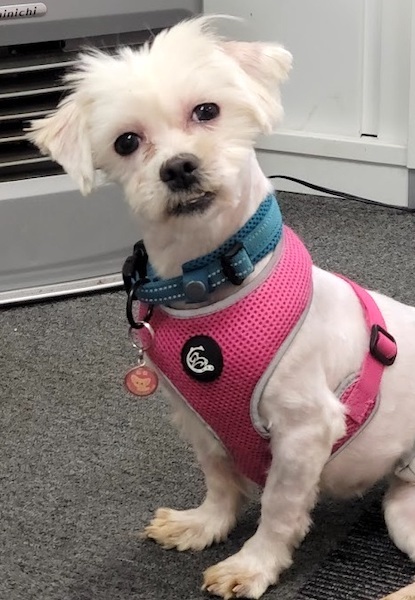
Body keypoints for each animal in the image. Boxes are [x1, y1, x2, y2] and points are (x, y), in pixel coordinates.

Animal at [28, 16, 415, 599]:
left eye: (206, 110)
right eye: (127, 141)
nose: (179, 167)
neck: (212, 283)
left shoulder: (305, 430)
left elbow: (278, 508)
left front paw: (253, 564)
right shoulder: (194, 415)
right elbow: (218, 475)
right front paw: (206, 523)